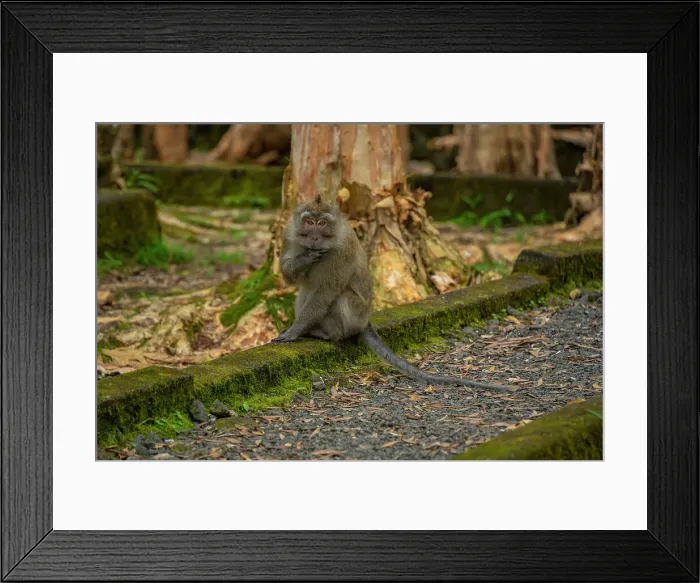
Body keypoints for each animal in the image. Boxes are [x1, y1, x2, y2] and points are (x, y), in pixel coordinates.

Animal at [273, 195, 511, 391]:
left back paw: (328, 334)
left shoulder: (343, 249)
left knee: (339, 297)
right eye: (309, 222)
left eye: (322, 223)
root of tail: (365, 322)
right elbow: (288, 275)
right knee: (306, 291)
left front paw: (295, 331)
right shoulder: (288, 232)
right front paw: (305, 258)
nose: (314, 237)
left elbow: (327, 291)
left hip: (355, 317)